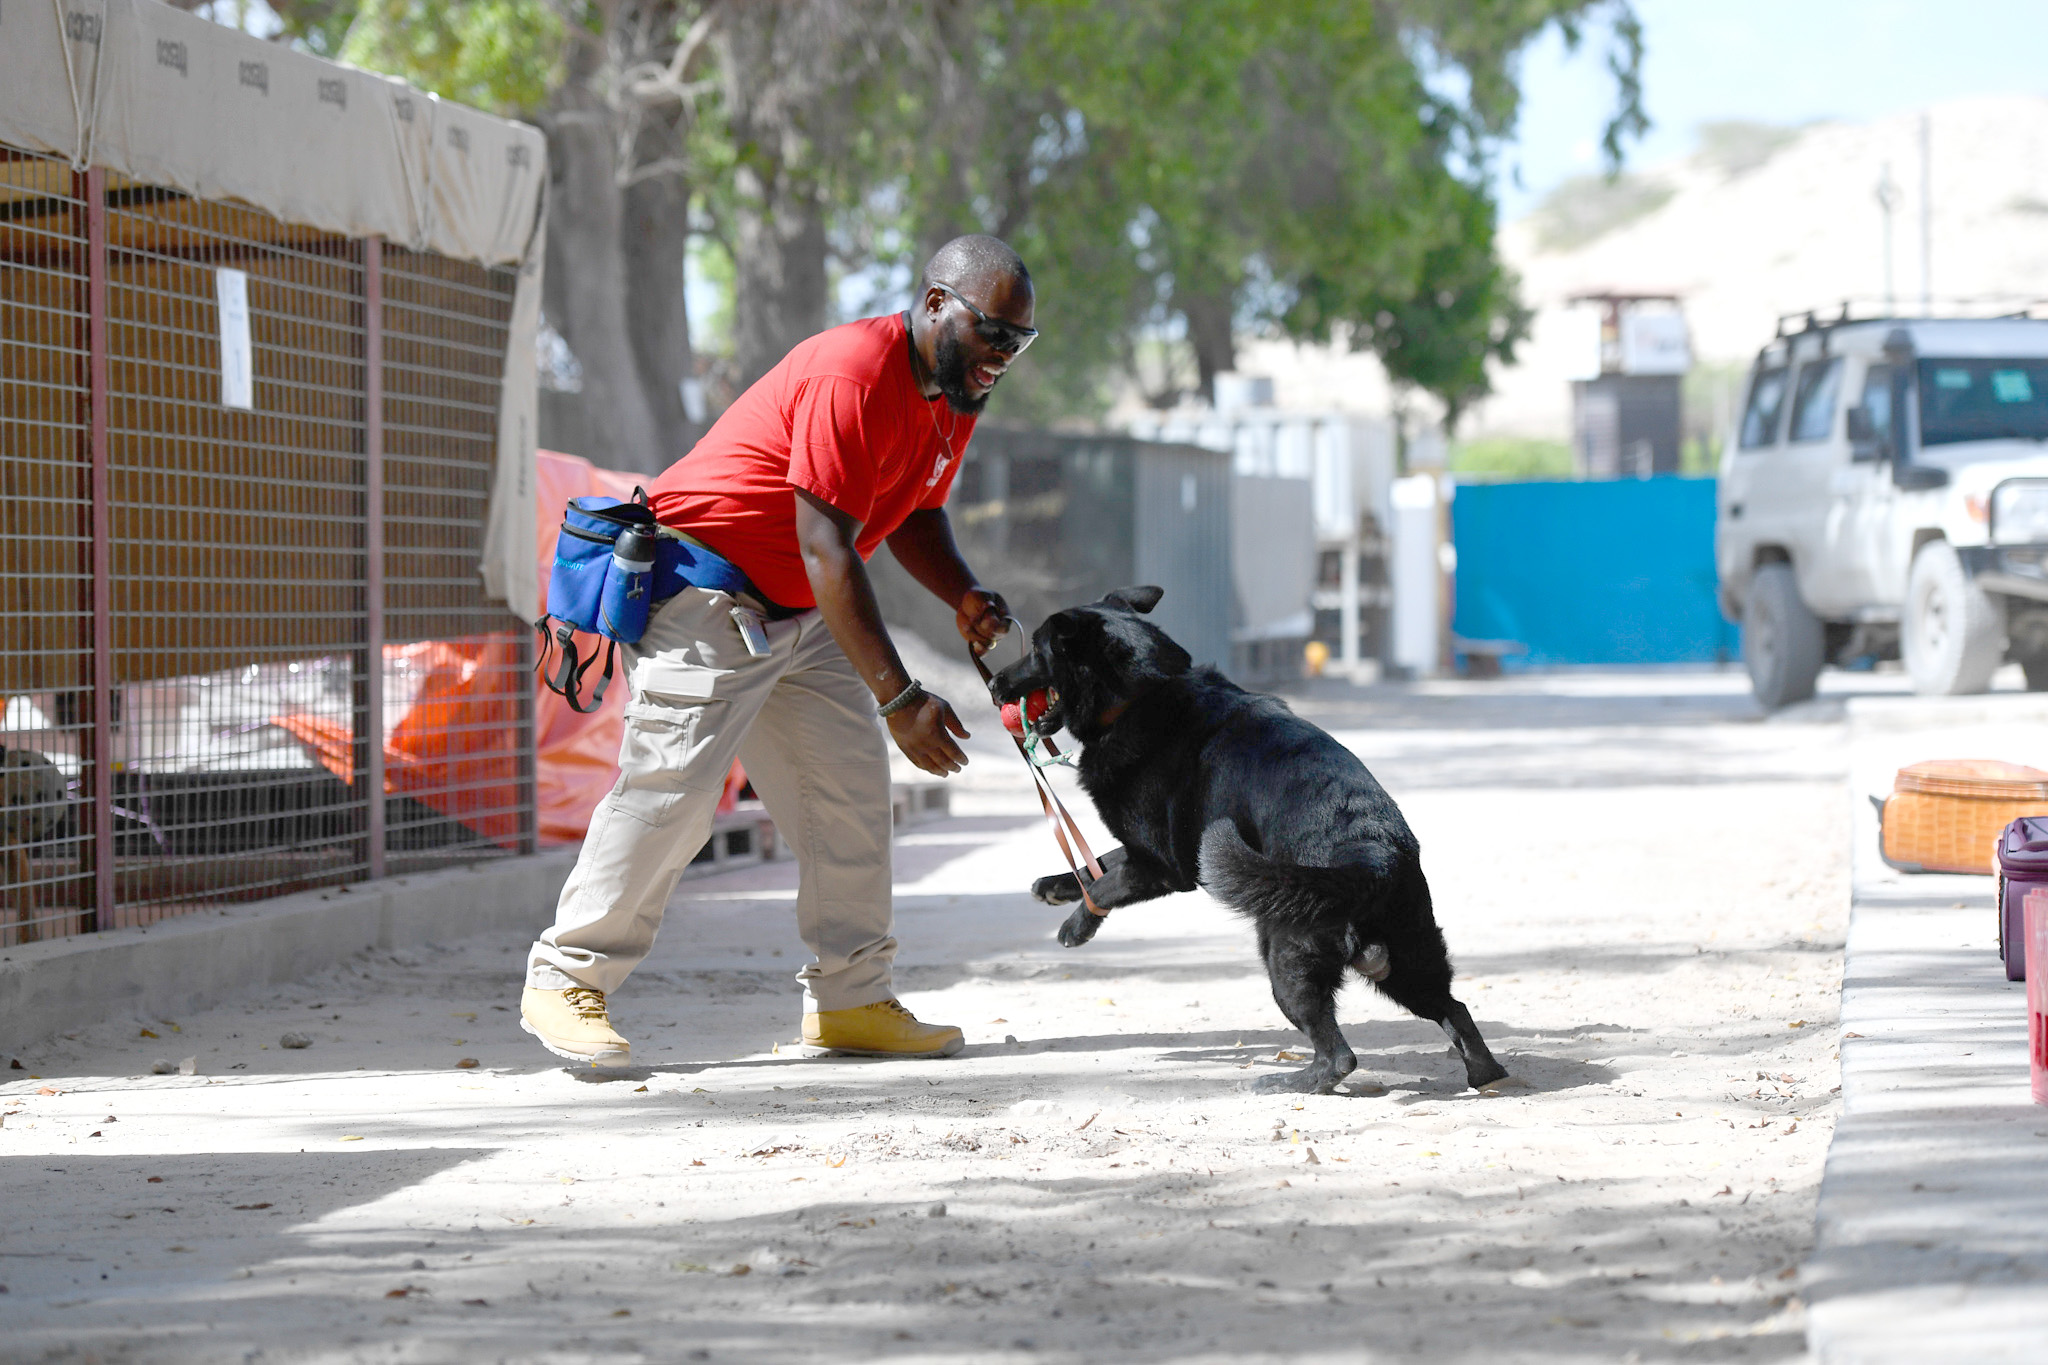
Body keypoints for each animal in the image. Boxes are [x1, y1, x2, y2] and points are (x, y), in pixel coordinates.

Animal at [983, 589, 1515, 1096]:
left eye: (1036, 649)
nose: (992, 685)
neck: (1143, 695)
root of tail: (1371, 851)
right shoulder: (1147, 853)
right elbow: (1100, 863)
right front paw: (1055, 886)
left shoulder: (1162, 866)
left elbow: (1106, 882)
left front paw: (1076, 926)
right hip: (1409, 962)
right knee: (1455, 1009)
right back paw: (1484, 1075)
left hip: (1286, 956)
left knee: (1339, 1056)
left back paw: (1288, 1082)